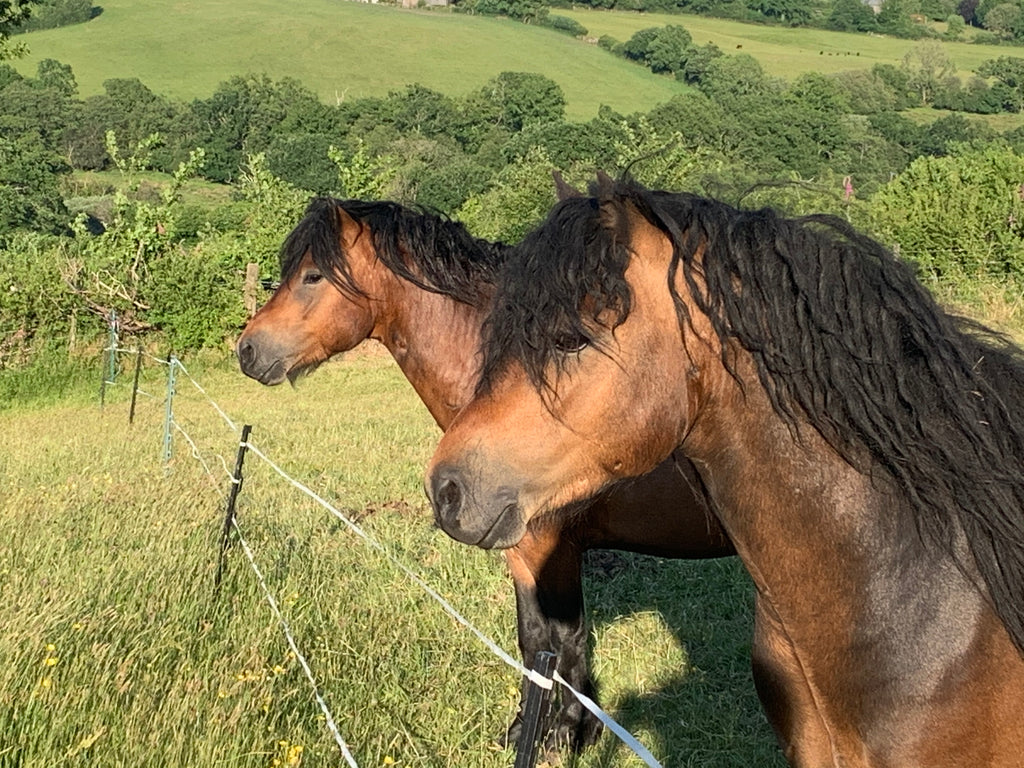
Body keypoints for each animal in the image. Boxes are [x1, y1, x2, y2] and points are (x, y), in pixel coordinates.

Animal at [235, 197, 735, 753]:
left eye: (312, 276)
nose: (247, 350)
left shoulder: (546, 547)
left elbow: (561, 642)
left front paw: (560, 736)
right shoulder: (523, 551)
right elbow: (537, 642)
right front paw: (530, 729)